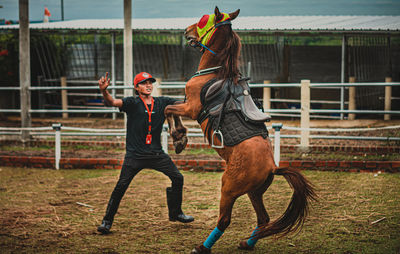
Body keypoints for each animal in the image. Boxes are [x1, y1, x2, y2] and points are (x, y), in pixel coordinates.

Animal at [164, 6, 318, 253]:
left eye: (203, 20)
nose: (187, 30)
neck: (214, 73)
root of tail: (272, 167)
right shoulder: (187, 106)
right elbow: (168, 106)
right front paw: (179, 137)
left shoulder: (191, 108)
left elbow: (168, 108)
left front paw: (179, 138)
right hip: (254, 192)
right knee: (263, 219)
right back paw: (247, 242)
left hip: (228, 188)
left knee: (224, 220)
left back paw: (203, 247)